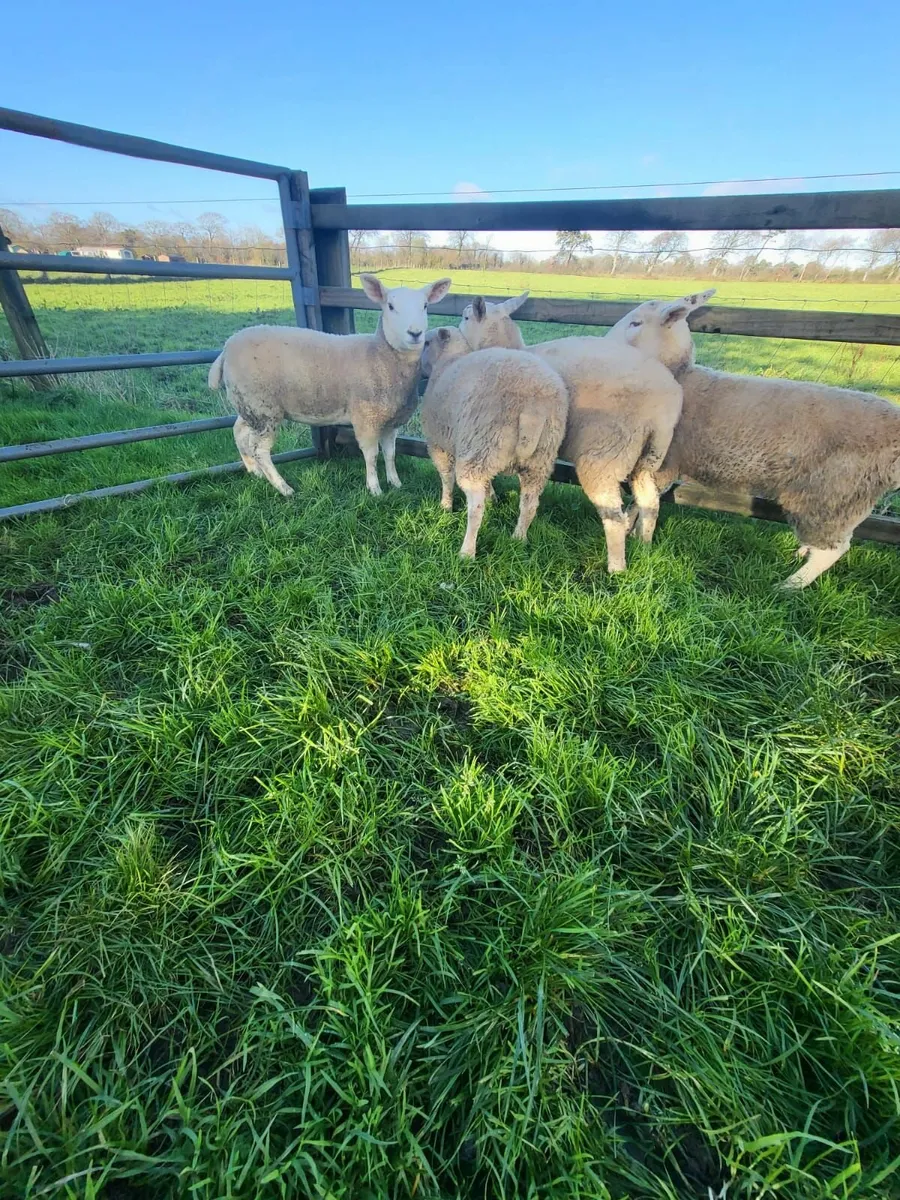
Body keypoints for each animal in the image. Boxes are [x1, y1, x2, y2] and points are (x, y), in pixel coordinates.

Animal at [208, 274, 451, 497]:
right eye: (390, 307)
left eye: (425, 306)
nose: (415, 333)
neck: (380, 355)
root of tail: (226, 348)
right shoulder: (366, 418)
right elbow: (372, 455)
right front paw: (374, 489)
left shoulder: (391, 420)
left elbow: (390, 453)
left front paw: (395, 482)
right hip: (263, 407)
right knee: (260, 449)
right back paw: (283, 487)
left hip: (249, 404)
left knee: (239, 432)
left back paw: (254, 471)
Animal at [419, 326, 568, 557]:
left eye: (426, 342)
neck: (448, 359)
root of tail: (533, 406)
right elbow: (488, 481)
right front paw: (493, 497)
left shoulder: (438, 443)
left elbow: (446, 477)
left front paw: (445, 506)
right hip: (536, 458)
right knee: (530, 504)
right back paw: (518, 539)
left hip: (480, 445)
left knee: (475, 508)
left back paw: (467, 552)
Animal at [455, 293, 684, 572]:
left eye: (466, 317)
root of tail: (665, 410)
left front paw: (489, 498)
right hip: (646, 458)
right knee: (650, 501)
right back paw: (644, 544)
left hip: (606, 454)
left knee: (614, 516)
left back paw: (616, 567)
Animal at [604, 289, 900, 588]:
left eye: (636, 323)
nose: (604, 346)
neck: (680, 376)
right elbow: (637, 503)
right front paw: (630, 530)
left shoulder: (662, 463)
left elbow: (645, 502)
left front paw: (639, 540)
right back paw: (800, 555)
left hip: (834, 493)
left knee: (833, 549)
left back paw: (788, 586)